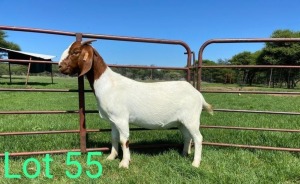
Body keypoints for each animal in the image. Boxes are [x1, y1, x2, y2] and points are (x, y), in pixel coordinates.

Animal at [59, 40, 213, 168]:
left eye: (75, 52)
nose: (60, 66)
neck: (108, 84)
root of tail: (198, 94)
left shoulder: (121, 118)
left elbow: (124, 140)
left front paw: (124, 163)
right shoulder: (113, 120)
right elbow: (114, 137)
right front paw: (111, 157)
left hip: (191, 118)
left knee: (198, 138)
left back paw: (195, 163)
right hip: (181, 121)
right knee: (187, 136)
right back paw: (184, 154)